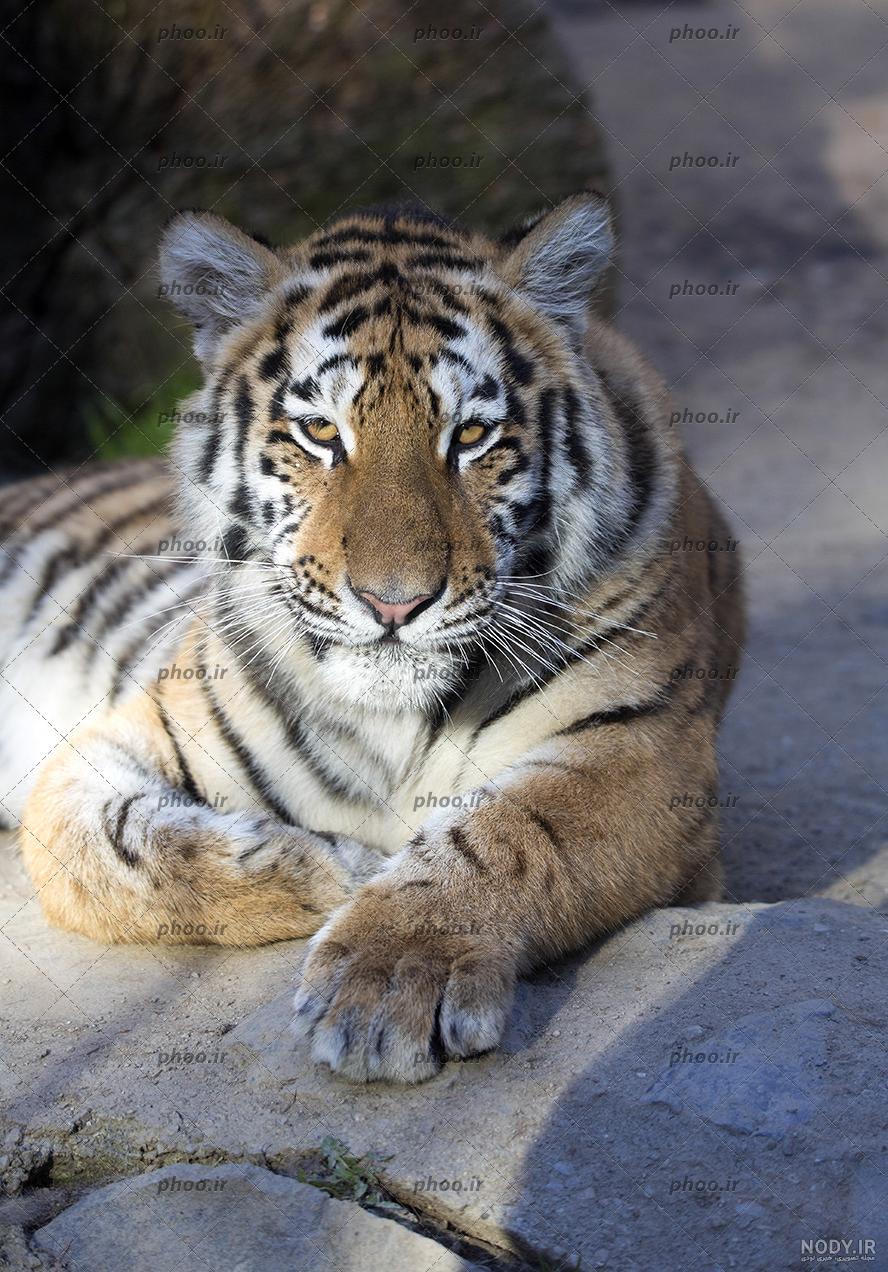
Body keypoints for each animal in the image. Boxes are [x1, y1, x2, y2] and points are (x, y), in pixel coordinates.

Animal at [0, 194, 744, 1083]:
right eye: (321, 433)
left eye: (471, 437)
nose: (395, 603)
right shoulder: (125, 733)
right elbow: (99, 853)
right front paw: (335, 869)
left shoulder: (647, 748)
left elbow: (510, 836)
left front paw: (390, 981)